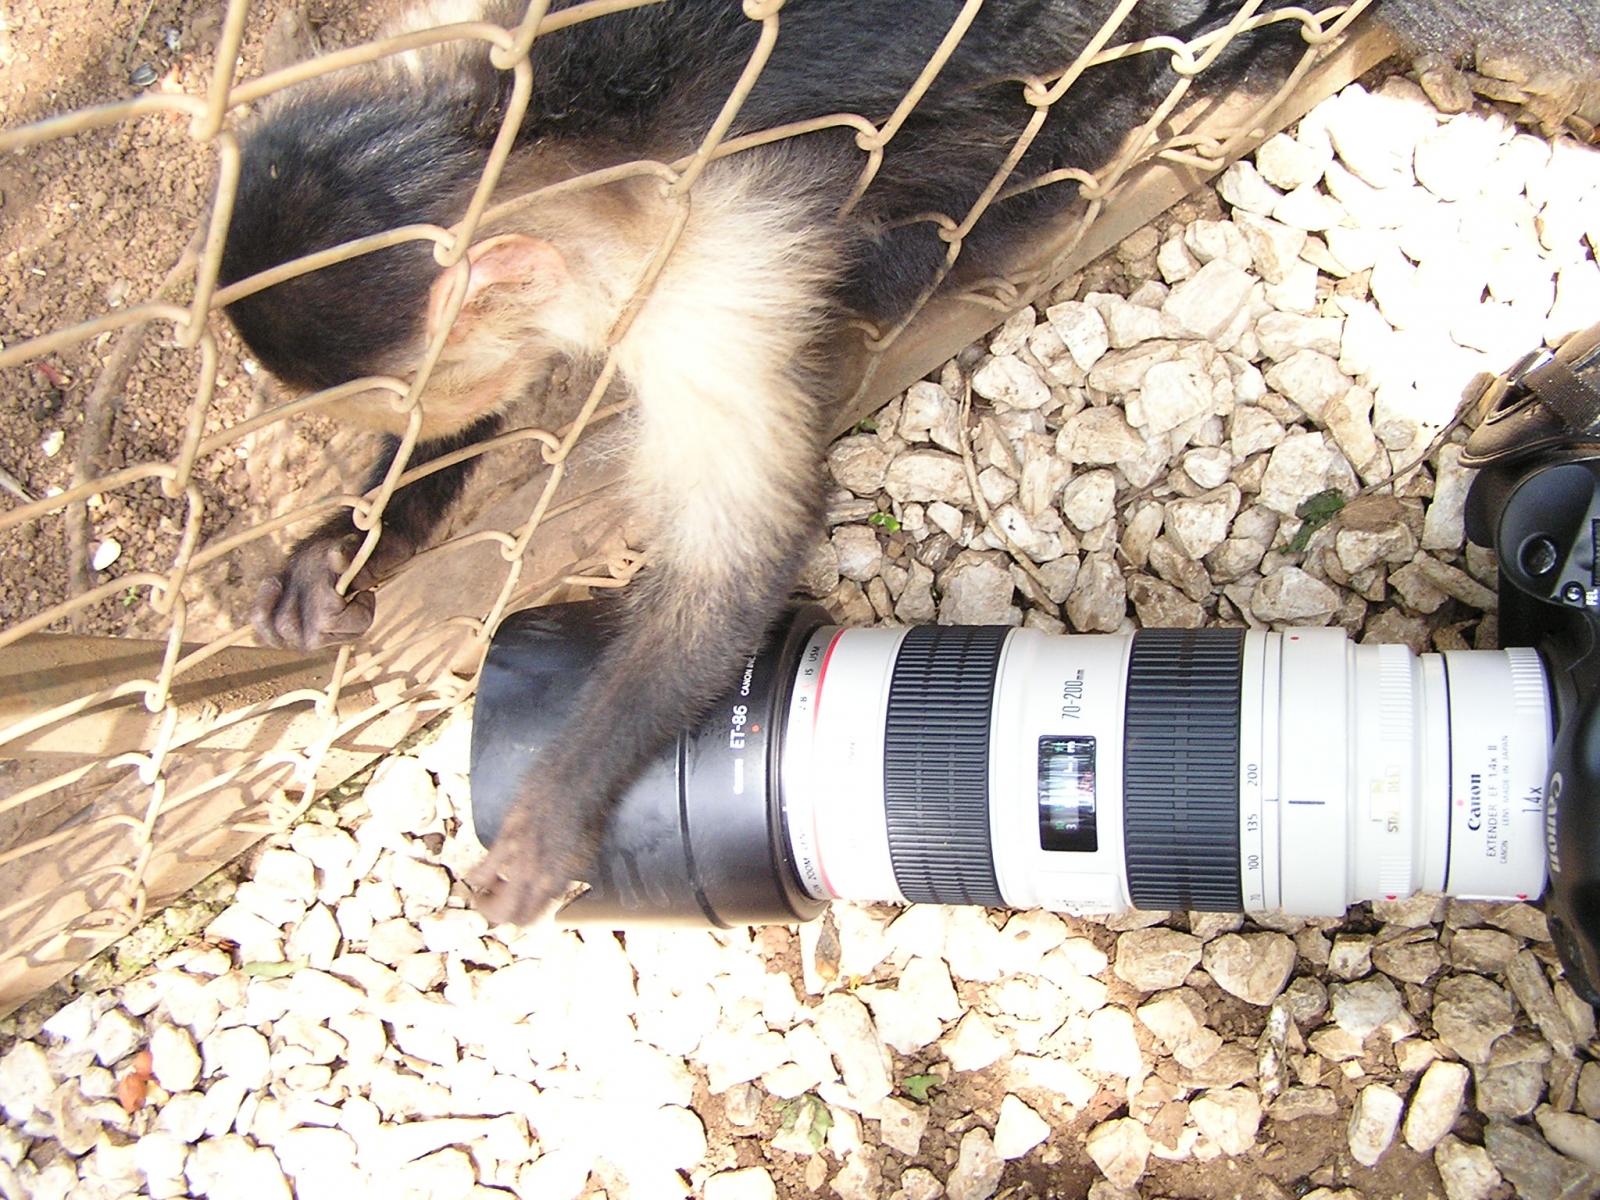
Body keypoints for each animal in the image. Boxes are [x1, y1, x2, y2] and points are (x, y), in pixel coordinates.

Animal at [218, 0, 1599, 925]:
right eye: (413, 394)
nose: (429, 400)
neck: (580, 134)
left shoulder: (708, 273)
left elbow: (740, 543)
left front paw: (559, 804)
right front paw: (343, 545)